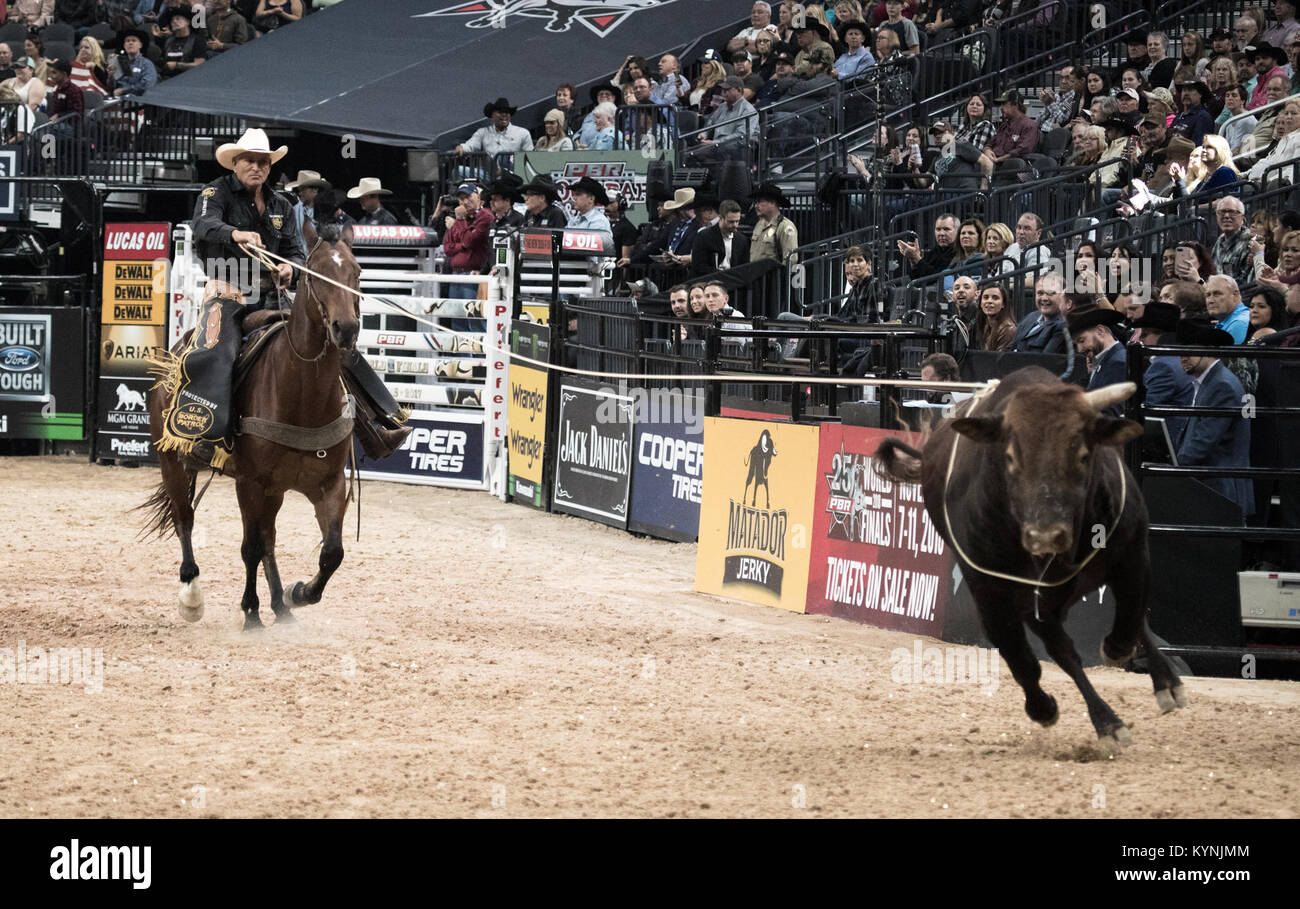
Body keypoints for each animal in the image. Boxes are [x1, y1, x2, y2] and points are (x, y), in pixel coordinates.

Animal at [143, 223, 364, 629]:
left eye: (356, 272)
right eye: (315, 275)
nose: (346, 328)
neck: (302, 397)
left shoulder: (329, 485)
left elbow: (331, 553)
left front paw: (297, 594)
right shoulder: (249, 483)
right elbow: (250, 548)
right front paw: (251, 612)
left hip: (274, 491)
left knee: (269, 540)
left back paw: (280, 605)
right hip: (173, 462)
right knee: (185, 519)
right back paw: (192, 596)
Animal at [873, 366, 1190, 749]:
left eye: (1083, 455)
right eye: (1010, 457)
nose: (1045, 534)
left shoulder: (1133, 554)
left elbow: (1129, 619)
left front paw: (1121, 655)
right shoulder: (994, 592)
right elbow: (1027, 658)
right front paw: (1048, 709)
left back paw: (1165, 684)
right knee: (1058, 651)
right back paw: (1105, 719)